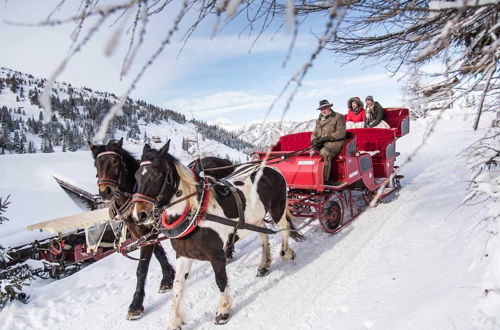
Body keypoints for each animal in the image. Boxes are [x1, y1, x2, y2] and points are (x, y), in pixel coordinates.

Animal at [88, 139, 234, 320]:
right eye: (96, 163)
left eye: (115, 161)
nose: (105, 192)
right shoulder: (144, 234)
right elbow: (158, 254)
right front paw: (168, 277)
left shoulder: (150, 234)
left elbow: (142, 268)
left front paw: (136, 304)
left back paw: (229, 252)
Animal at [131, 141, 300, 328]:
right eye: (136, 176)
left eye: (155, 174)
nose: (139, 215)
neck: (195, 213)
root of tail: (270, 167)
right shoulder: (183, 255)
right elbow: (177, 288)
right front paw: (174, 322)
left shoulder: (216, 255)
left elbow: (221, 281)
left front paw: (223, 311)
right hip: (255, 220)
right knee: (264, 236)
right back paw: (264, 265)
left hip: (277, 209)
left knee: (284, 229)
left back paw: (286, 253)